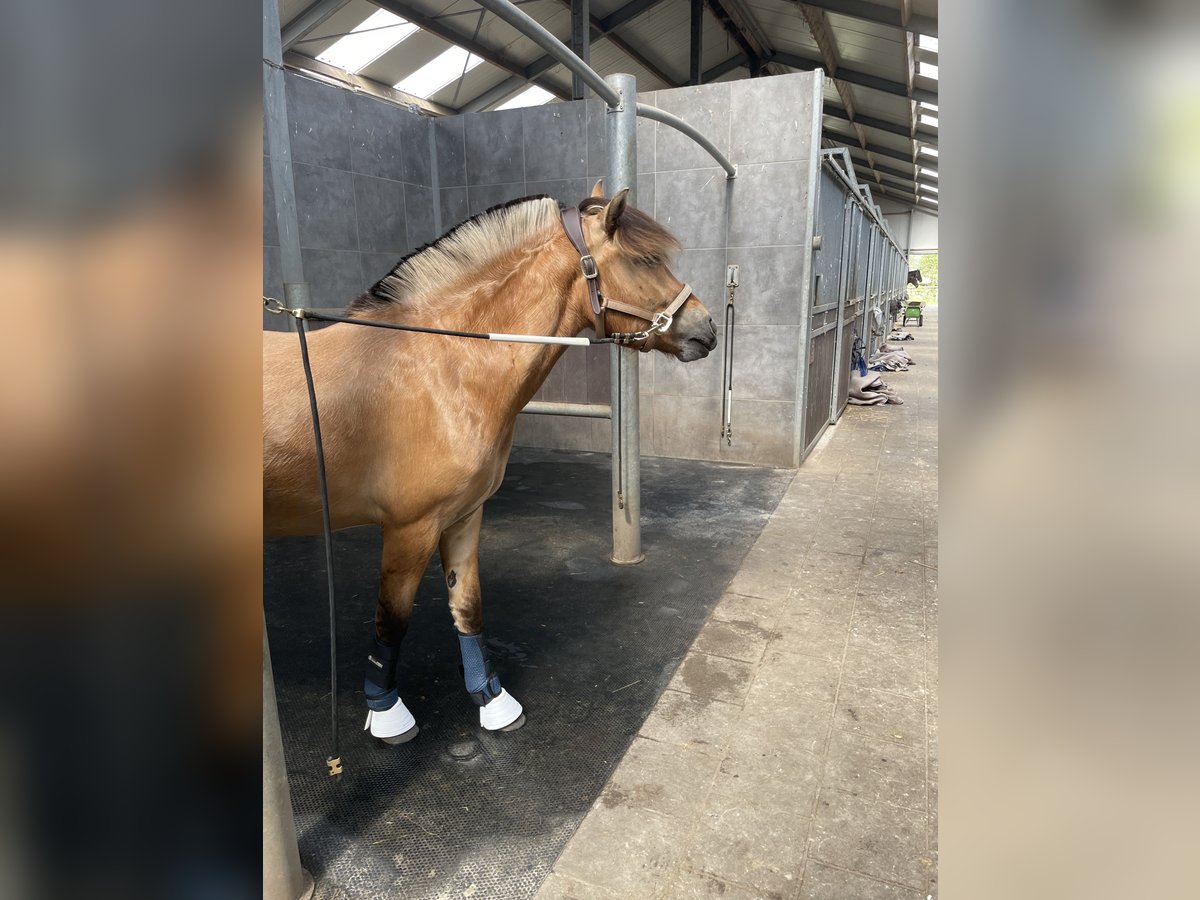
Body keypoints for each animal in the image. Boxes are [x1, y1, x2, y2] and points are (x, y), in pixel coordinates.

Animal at [265, 187, 710, 744]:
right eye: (645, 260)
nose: (707, 328)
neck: (444, 366)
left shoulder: (462, 516)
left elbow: (467, 608)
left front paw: (492, 701)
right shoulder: (409, 528)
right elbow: (392, 619)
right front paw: (386, 711)